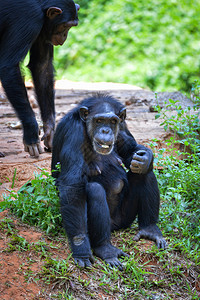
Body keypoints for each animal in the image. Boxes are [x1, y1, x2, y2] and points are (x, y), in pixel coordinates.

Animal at [0, 0, 79, 158]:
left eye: (71, 26)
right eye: (65, 26)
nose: (65, 35)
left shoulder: (43, 30)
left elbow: (42, 66)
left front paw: (50, 133)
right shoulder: (30, 20)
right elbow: (9, 66)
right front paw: (31, 132)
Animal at [50, 93, 166, 270]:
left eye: (112, 121)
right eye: (99, 120)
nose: (105, 130)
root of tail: (115, 227)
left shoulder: (122, 125)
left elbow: (130, 150)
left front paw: (146, 157)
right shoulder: (73, 132)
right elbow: (72, 185)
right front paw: (81, 249)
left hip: (125, 217)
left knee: (144, 174)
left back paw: (149, 229)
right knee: (94, 190)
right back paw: (105, 249)